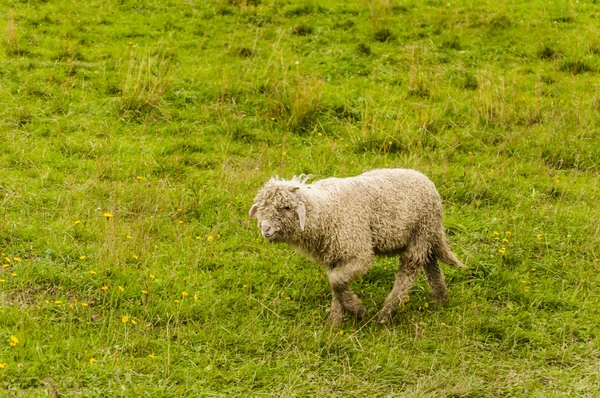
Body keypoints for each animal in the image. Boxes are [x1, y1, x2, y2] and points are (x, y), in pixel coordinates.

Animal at [248, 166, 464, 324]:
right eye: (261, 209)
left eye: (286, 207)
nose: (265, 228)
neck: (324, 212)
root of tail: (426, 180)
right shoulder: (336, 255)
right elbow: (336, 283)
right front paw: (336, 321)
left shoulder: (358, 251)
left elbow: (336, 281)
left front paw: (357, 310)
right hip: (423, 235)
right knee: (431, 263)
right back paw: (440, 299)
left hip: (420, 232)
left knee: (408, 272)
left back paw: (386, 313)